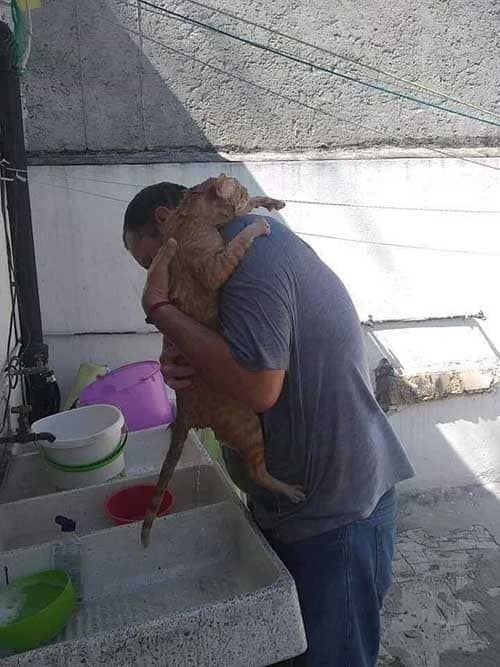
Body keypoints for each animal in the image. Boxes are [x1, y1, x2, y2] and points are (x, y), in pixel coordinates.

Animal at [141, 174, 305, 547]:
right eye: (239, 191)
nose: (244, 193)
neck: (191, 213)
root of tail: (185, 413)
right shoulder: (214, 266)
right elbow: (239, 239)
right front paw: (258, 223)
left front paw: (269, 201)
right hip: (249, 423)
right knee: (257, 472)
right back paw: (288, 489)